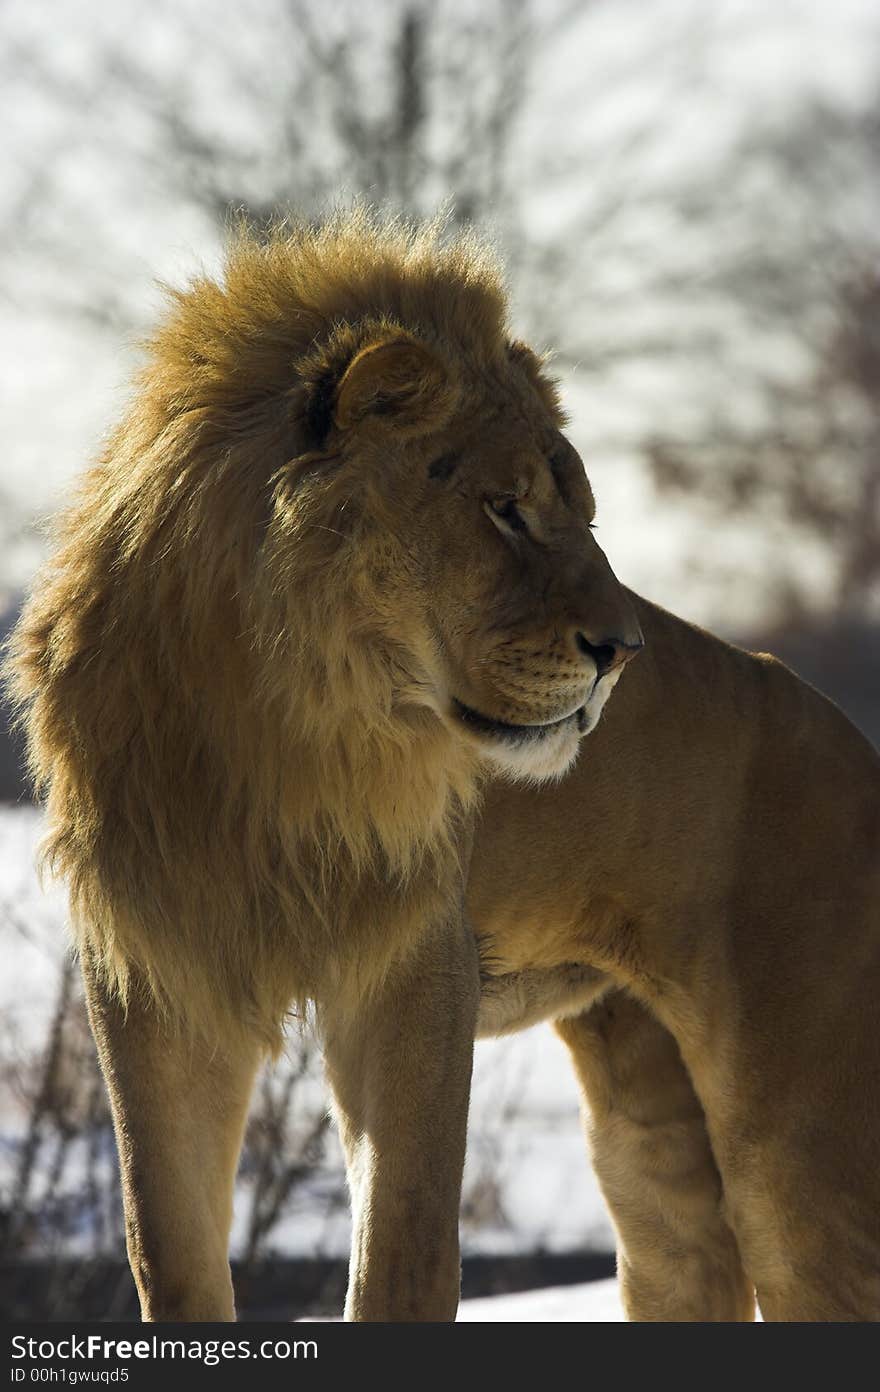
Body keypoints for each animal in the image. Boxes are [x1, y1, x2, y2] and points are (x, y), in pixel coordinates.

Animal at [3, 211, 874, 1319]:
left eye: (585, 513)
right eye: (504, 508)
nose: (625, 652)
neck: (274, 729)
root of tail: (852, 740)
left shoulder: (413, 962)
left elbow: (404, 1253)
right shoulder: (157, 968)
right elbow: (168, 1252)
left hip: (799, 1137)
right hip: (648, 1134)